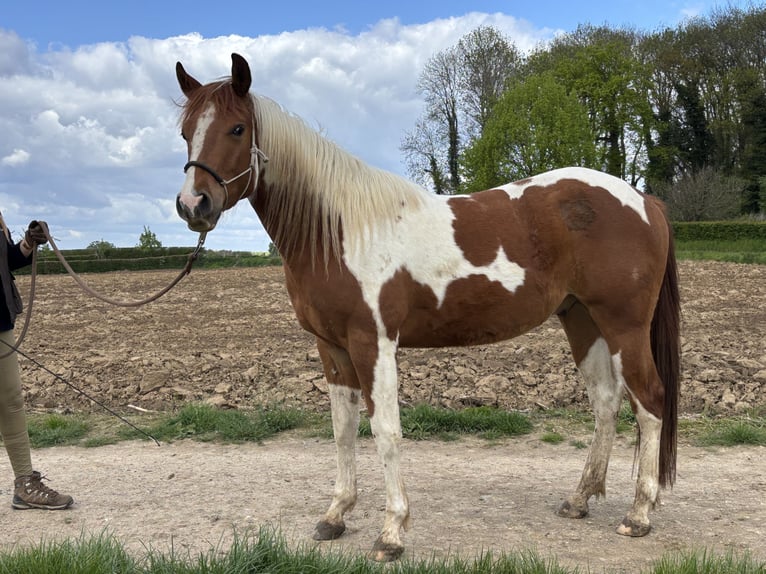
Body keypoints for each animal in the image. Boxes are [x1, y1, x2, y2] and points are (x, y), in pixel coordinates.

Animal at [174, 53, 681, 562]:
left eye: (237, 129)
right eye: (185, 132)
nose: (193, 204)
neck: (340, 231)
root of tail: (645, 199)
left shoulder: (373, 342)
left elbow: (386, 431)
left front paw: (391, 532)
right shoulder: (331, 348)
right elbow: (342, 430)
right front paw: (335, 515)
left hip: (624, 324)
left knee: (649, 400)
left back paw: (638, 514)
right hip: (582, 319)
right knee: (606, 401)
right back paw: (579, 499)